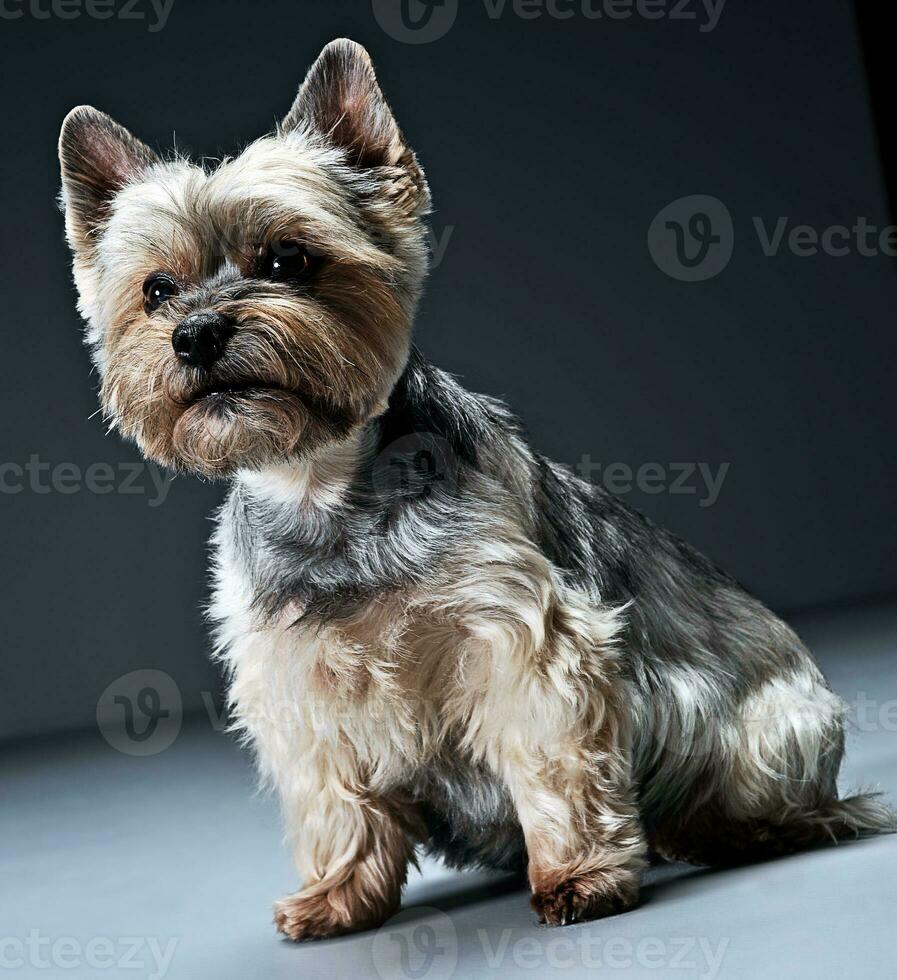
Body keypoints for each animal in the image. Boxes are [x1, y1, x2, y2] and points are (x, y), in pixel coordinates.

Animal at [59, 38, 892, 940]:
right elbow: (335, 798)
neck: (323, 490)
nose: (196, 333)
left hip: (775, 729)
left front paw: (578, 876)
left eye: (288, 258)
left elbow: (551, 760)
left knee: (782, 805)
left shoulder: (522, 641)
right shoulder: (298, 679)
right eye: (155, 290)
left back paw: (735, 829)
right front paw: (339, 895)